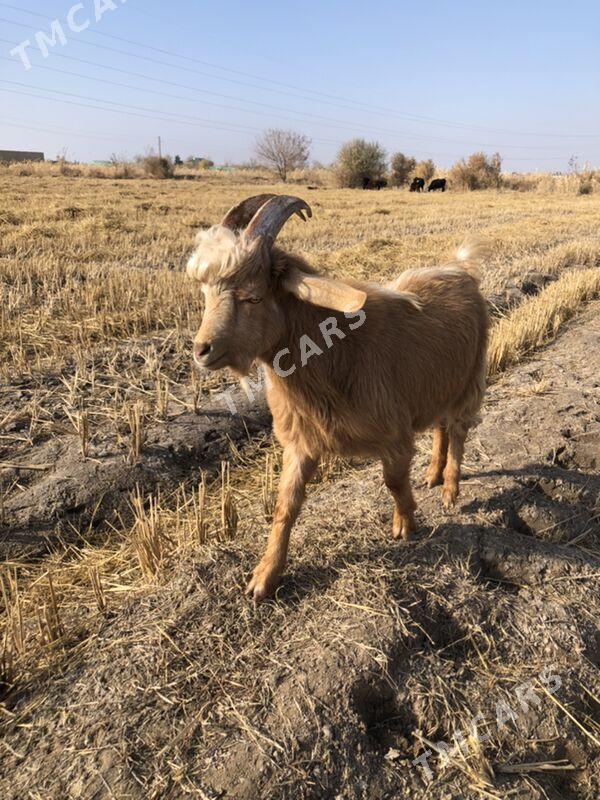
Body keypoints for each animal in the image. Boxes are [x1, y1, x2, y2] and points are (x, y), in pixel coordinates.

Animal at [188, 194, 488, 600]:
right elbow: (285, 505)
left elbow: (394, 482)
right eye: (205, 294)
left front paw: (405, 524)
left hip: (470, 379)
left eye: (252, 297)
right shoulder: (301, 442)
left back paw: (451, 489)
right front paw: (264, 577)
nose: (202, 350)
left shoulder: (394, 435)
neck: (335, 354)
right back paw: (432, 475)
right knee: (441, 426)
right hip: (438, 384)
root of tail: (461, 269)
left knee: (457, 430)